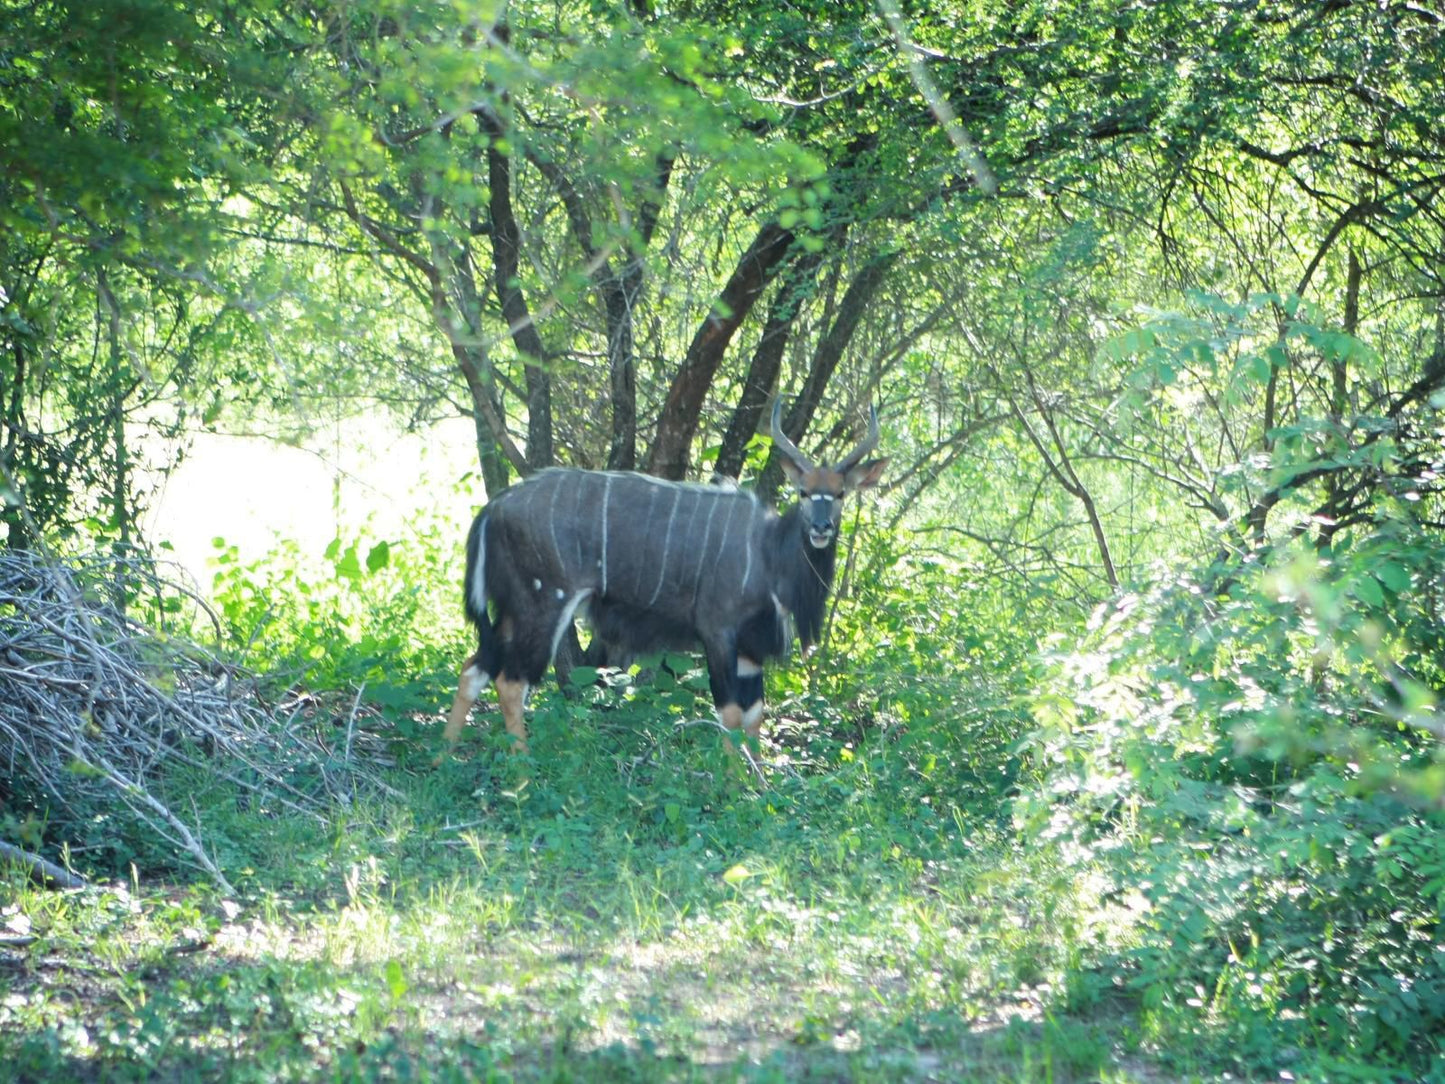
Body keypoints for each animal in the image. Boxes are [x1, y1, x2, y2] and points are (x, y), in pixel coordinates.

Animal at [445, 398, 884, 757]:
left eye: (840, 494)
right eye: (804, 492)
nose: (822, 528)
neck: (768, 552)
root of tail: (492, 508)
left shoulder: (751, 648)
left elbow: (755, 715)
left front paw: (759, 788)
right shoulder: (718, 632)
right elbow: (730, 713)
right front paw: (732, 790)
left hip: (512, 610)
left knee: (473, 668)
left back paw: (443, 759)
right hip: (543, 604)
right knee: (511, 682)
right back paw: (523, 772)